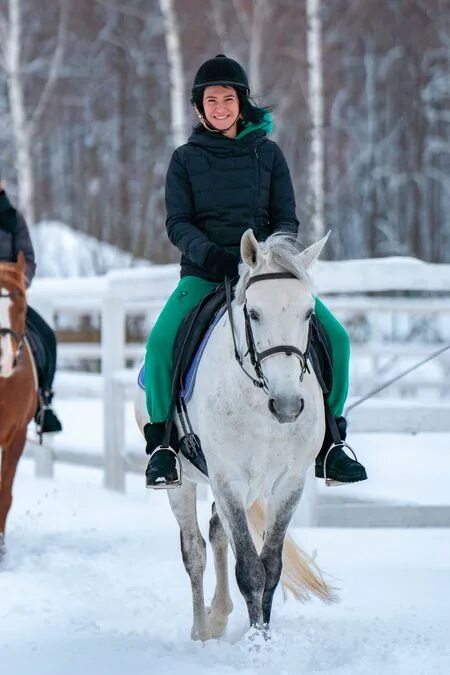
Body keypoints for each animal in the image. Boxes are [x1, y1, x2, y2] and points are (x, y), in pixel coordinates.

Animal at [135, 231, 336, 644]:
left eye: (308, 313)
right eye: (254, 313)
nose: (288, 405)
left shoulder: (288, 485)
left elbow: (270, 566)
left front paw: (265, 637)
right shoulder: (227, 479)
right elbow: (250, 570)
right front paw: (256, 644)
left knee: (216, 533)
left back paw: (219, 615)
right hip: (183, 484)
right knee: (194, 549)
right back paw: (201, 628)